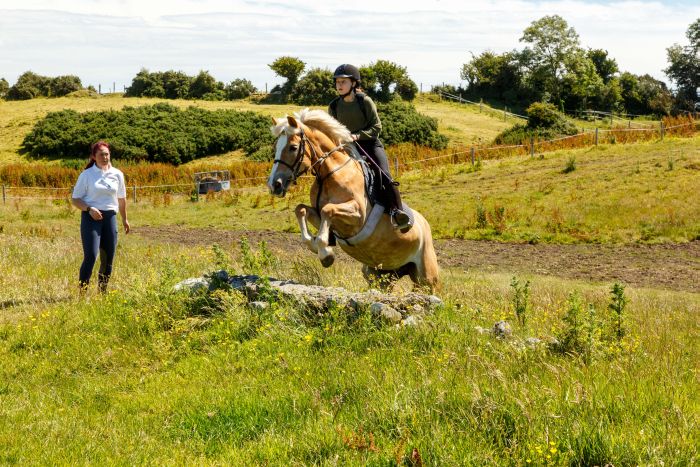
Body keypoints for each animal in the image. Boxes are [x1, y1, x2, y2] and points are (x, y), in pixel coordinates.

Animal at [266, 109, 438, 292]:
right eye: (275, 148)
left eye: (293, 147)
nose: (274, 185)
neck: (329, 173)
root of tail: (426, 225)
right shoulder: (321, 215)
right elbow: (301, 209)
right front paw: (315, 245)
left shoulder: (358, 215)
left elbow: (328, 209)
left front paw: (325, 254)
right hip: (381, 275)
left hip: (426, 278)